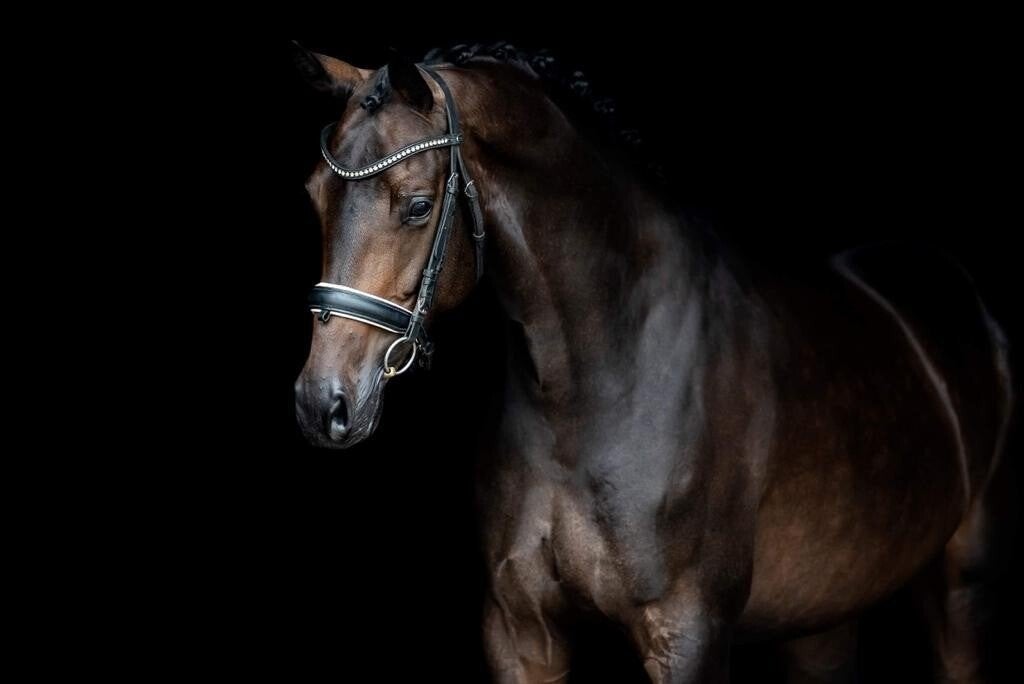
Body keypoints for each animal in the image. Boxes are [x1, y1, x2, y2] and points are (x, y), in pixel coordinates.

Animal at [290, 45, 1015, 683]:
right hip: (824, 614)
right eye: (314, 195)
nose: (323, 403)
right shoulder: (521, 630)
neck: (597, 387)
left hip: (961, 583)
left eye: (416, 205)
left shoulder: (688, 634)